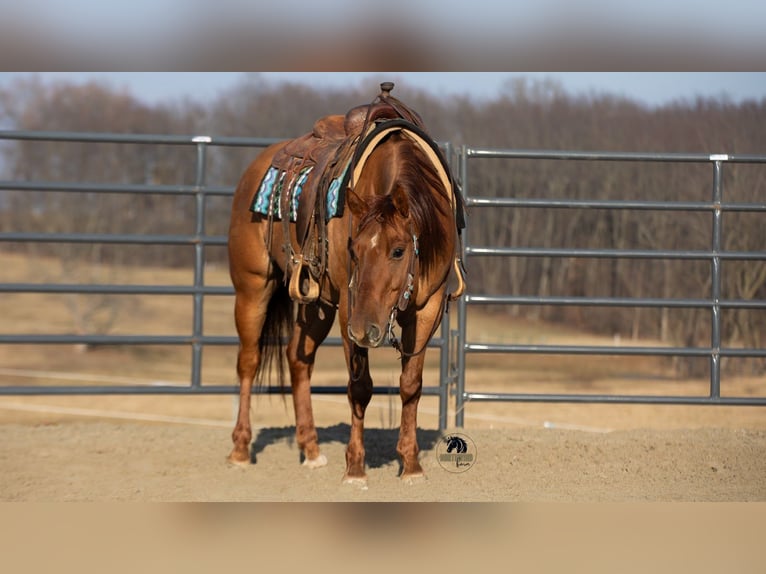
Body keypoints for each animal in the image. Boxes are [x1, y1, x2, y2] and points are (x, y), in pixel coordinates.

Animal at [226, 83, 465, 484]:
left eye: (399, 250)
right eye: (353, 248)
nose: (366, 329)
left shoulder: (427, 307)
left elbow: (410, 385)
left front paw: (411, 465)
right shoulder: (350, 309)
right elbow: (360, 387)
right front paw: (355, 468)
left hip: (318, 303)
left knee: (298, 358)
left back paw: (310, 449)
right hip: (253, 287)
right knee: (249, 360)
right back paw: (241, 450)